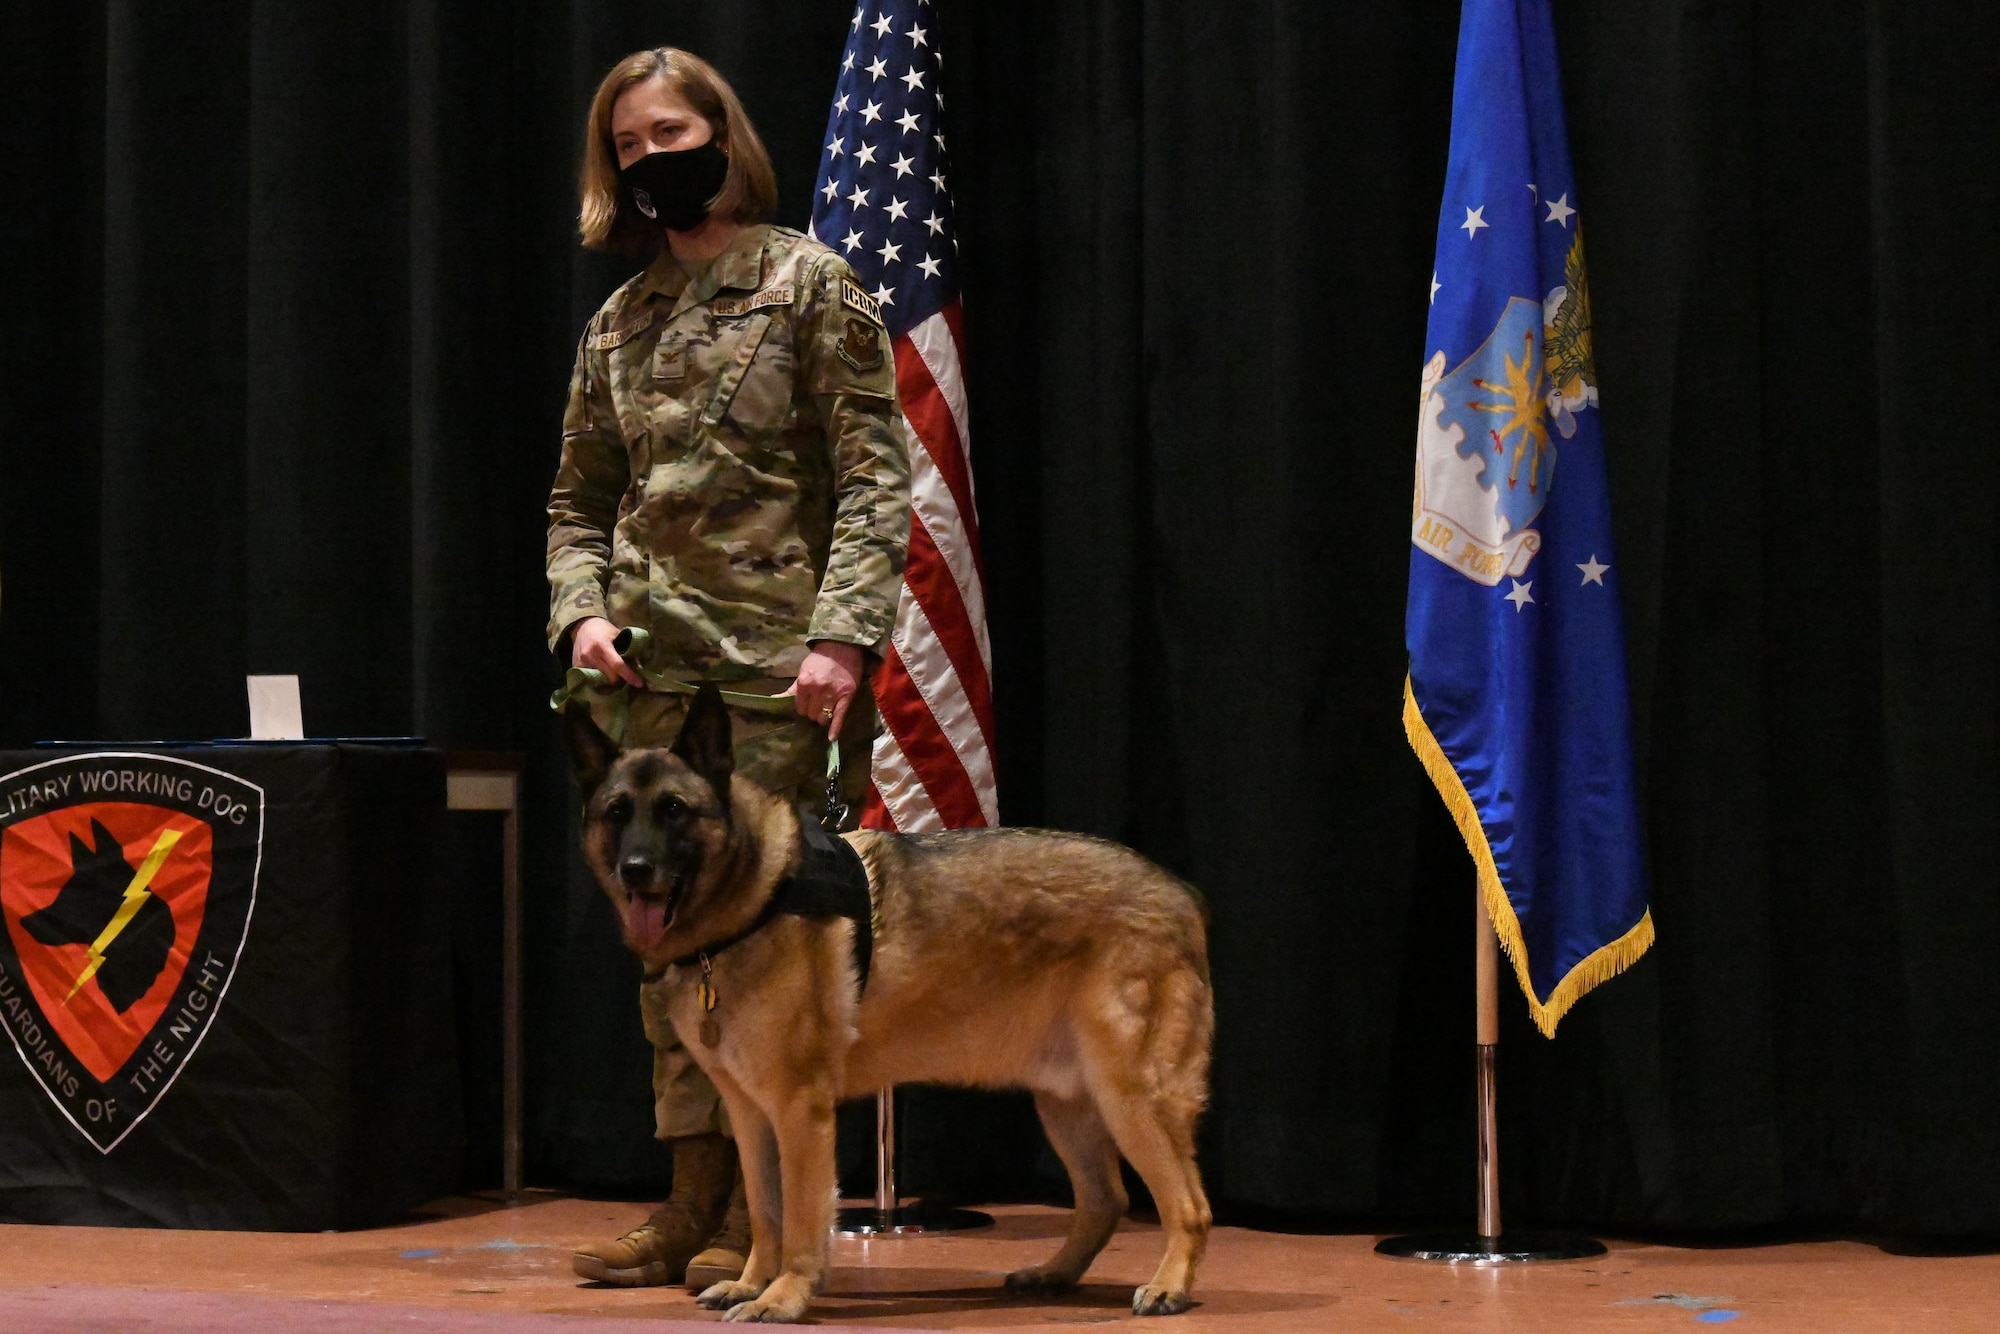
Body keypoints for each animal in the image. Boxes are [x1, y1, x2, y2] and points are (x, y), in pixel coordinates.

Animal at [568, 688, 1216, 1328]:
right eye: (617, 813)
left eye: (675, 810)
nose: (636, 871)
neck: (756, 897)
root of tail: (1181, 895)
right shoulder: (751, 1116)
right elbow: (764, 1212)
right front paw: (751, 1284)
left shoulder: (799, 1112)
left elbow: (800, 1219)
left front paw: (784, 1296)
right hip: (1066, 1105)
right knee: (1107, 1200)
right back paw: (1053, 1274)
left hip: (1131, 1098)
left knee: (1189, 1206)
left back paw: (1169, 1286)